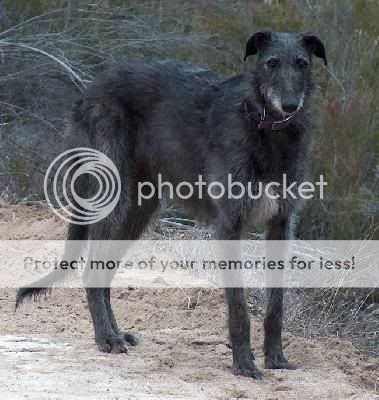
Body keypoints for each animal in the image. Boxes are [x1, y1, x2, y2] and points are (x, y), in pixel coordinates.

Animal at [17, 30, 326, 378]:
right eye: (272, 63)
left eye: (301, 64)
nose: (289, 105)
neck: (264, 123)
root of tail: (91, 88)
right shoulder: (229, 224)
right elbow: (238, 307)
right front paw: (244, 364)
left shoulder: (281, 224)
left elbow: (276, 303)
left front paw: (275, 358)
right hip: (113, 197)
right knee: (92, 272)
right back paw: (106, 338)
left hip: (138, 210)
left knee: (105, 271)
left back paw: (116, 332)